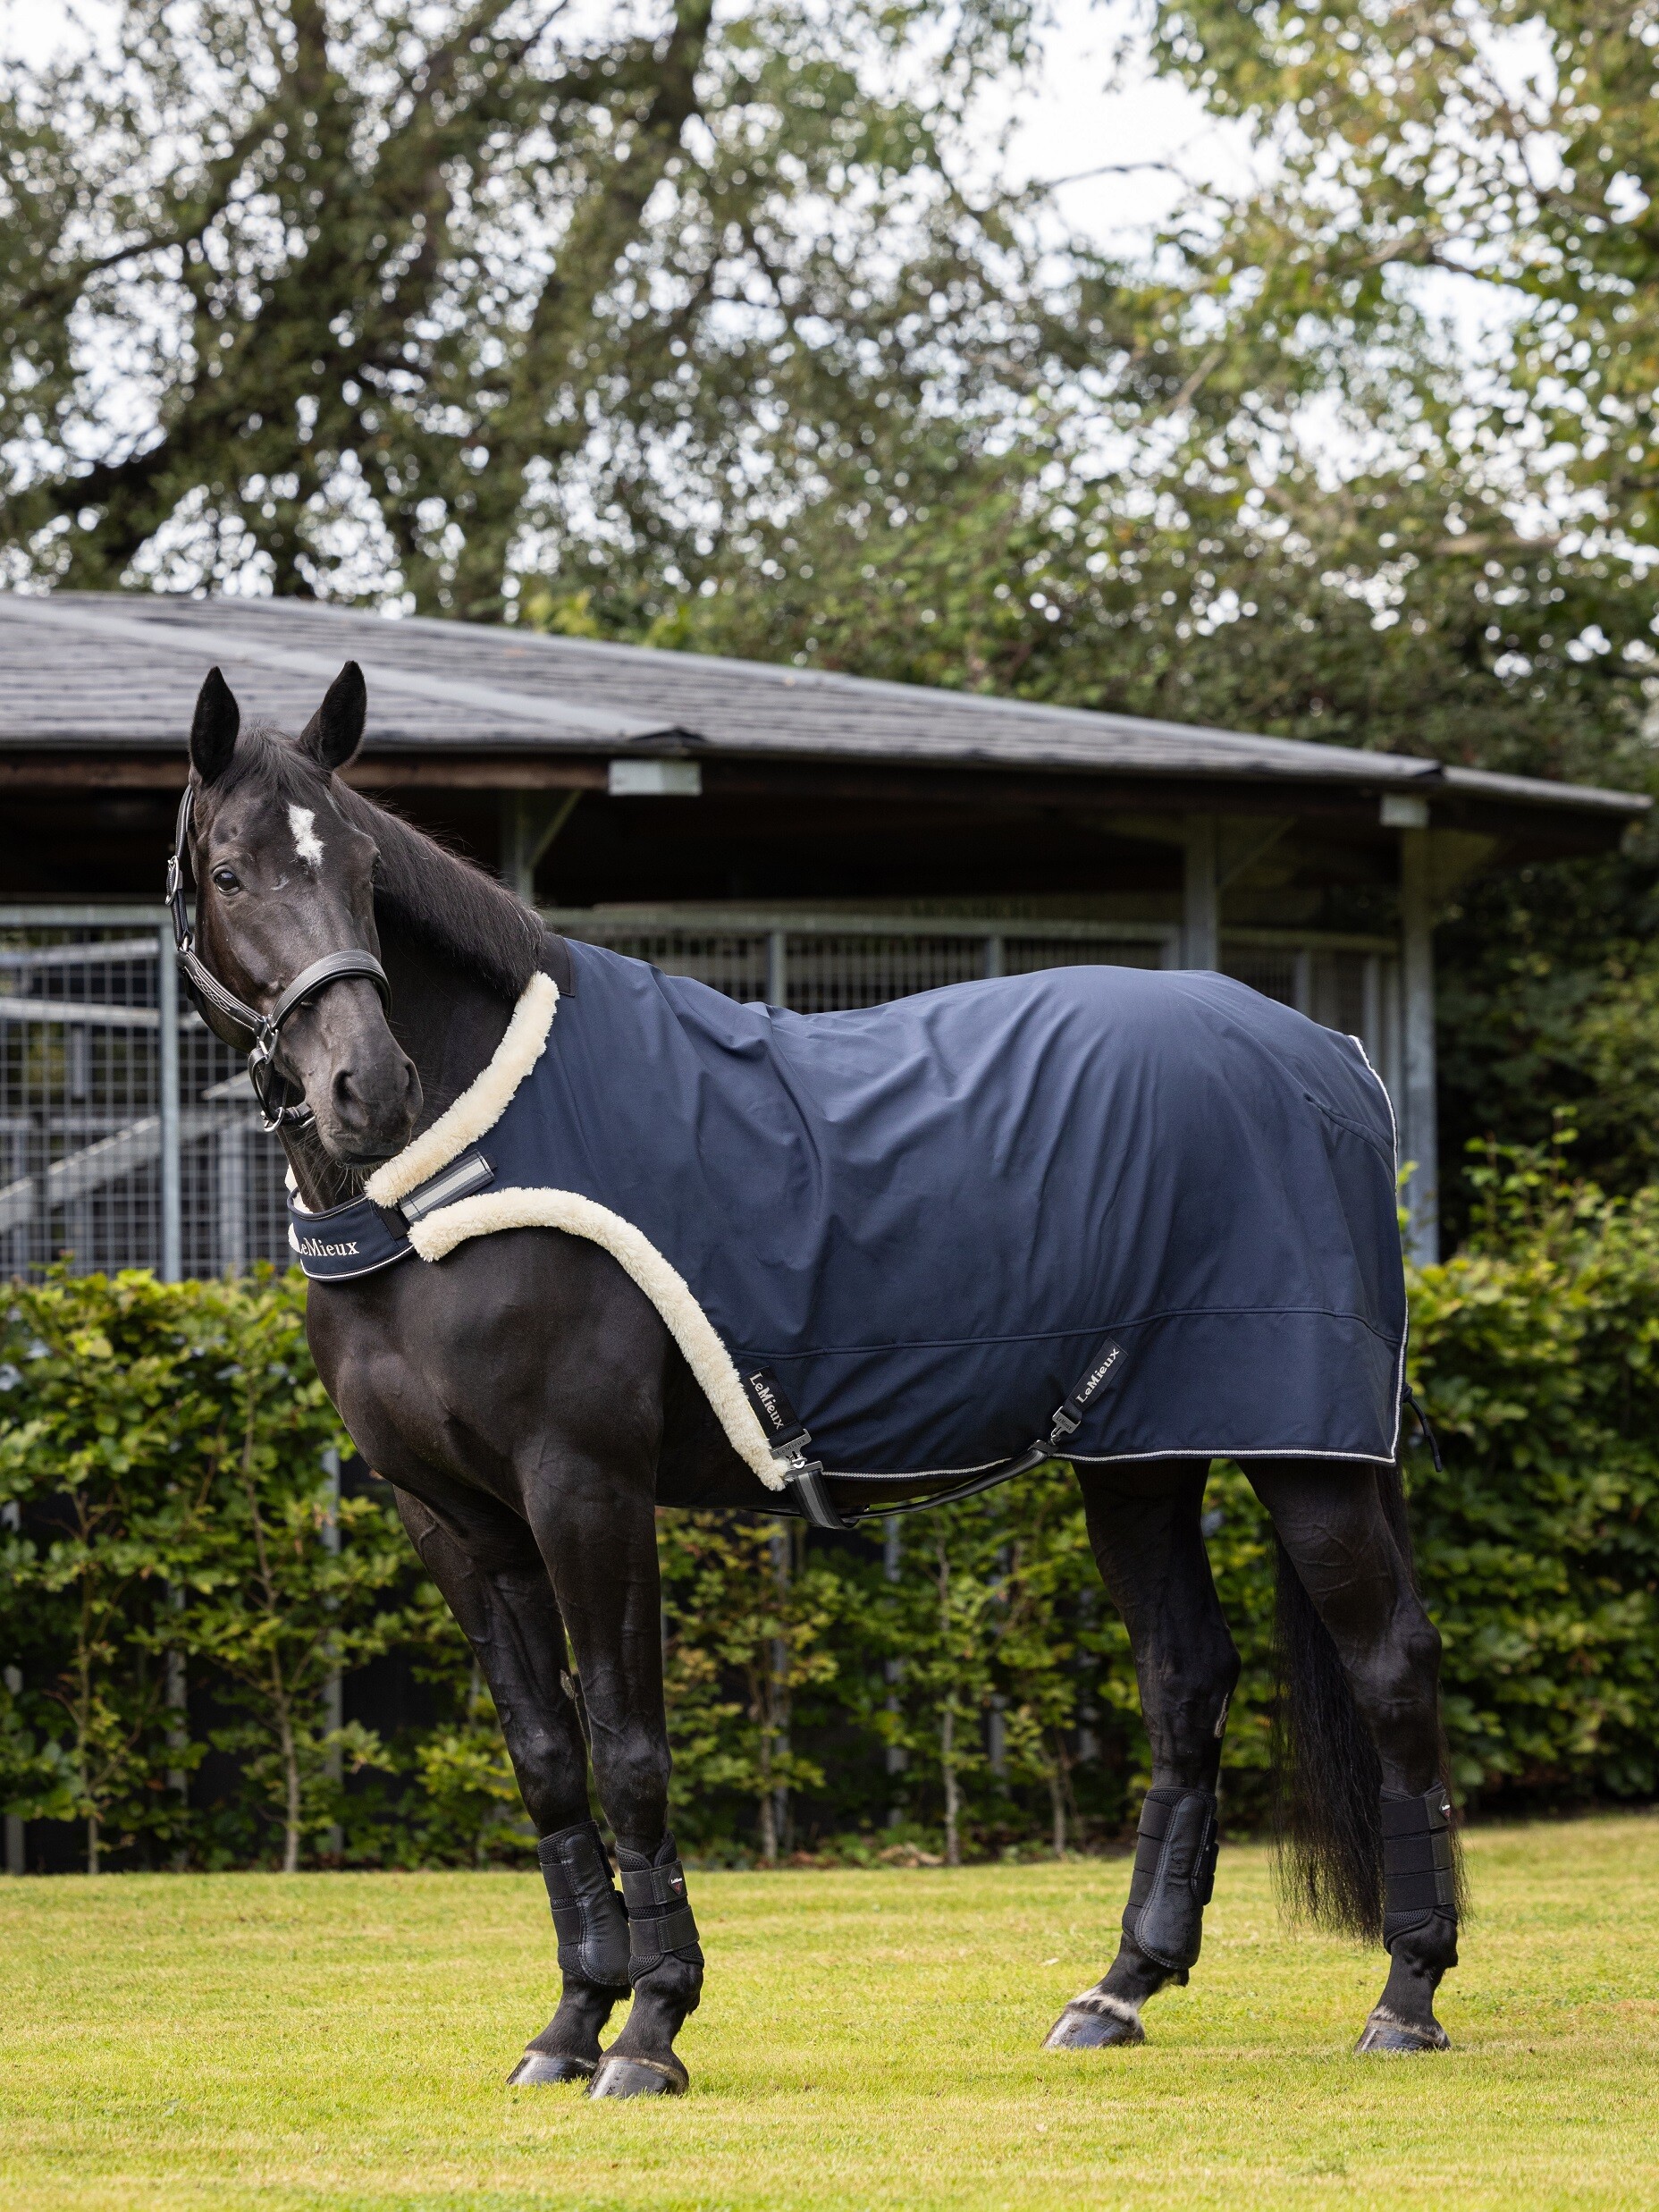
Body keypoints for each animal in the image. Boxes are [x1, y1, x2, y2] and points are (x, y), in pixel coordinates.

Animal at [170, 658, 1463, 2097]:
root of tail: (1328, 1056)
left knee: (1390, 1666)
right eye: (231, 871)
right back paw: (1120, 1987)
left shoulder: (584, 1486)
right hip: (1138, 1455)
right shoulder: (449, 1516)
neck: (451, 1178)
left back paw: (1406, 1993)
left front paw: (651, 2028)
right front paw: (567, 2024)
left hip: (1304, 1452)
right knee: (1185, 1677)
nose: (368, 1084)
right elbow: (549, 1761)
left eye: (359, 867)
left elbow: (629, 1748)